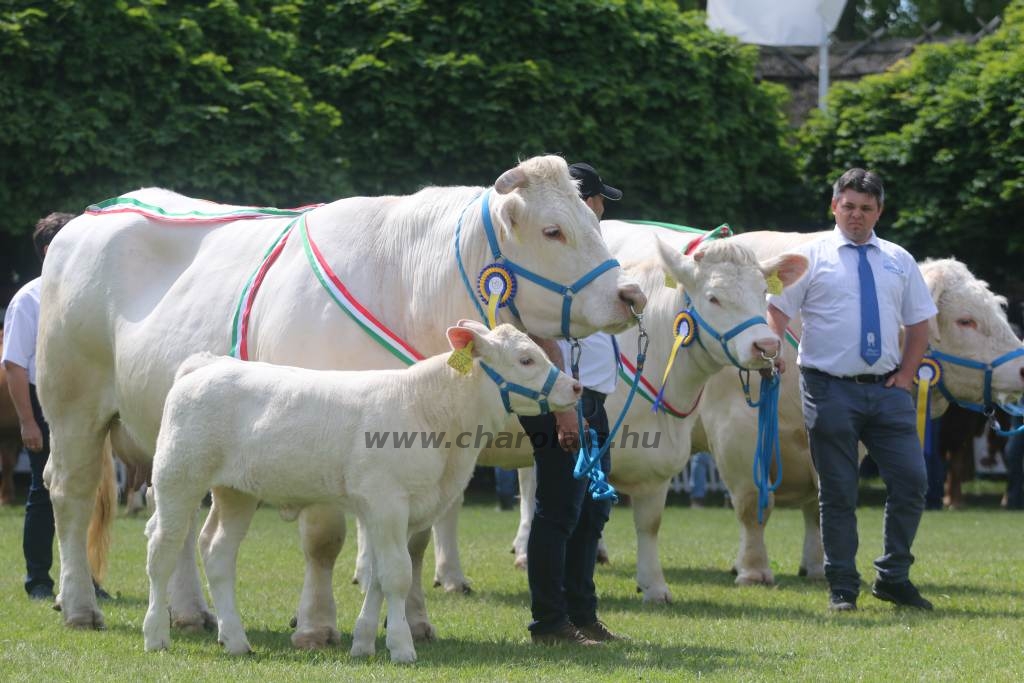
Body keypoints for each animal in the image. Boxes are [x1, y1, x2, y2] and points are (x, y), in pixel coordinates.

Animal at [145, 323, 581, 663]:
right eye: (526, 359)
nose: (575, 386)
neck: (433, 416)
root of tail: (207, 364)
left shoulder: (387, 509)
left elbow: (377, 577)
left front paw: (364, 643)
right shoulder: (387, 501)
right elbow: (398, 575)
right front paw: (402, 648)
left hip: (236, 491)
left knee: (217, 552)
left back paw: (236, 640)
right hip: (177, 478)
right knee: (162, 549)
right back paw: (156, 635)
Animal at [423, 220, 806, 598]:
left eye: (763, 293)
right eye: (714, 298)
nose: (766, 345)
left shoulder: (659, 462)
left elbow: (649, 524)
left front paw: (654, 586)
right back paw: (452, 576)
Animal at [696, 232, 1024, 585]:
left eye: (998, 311)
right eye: (966, 320)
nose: (1022, 368)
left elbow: (822, 504)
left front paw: (818, 568)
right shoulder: (736, 431)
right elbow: (752, 504)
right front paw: (754, 570)